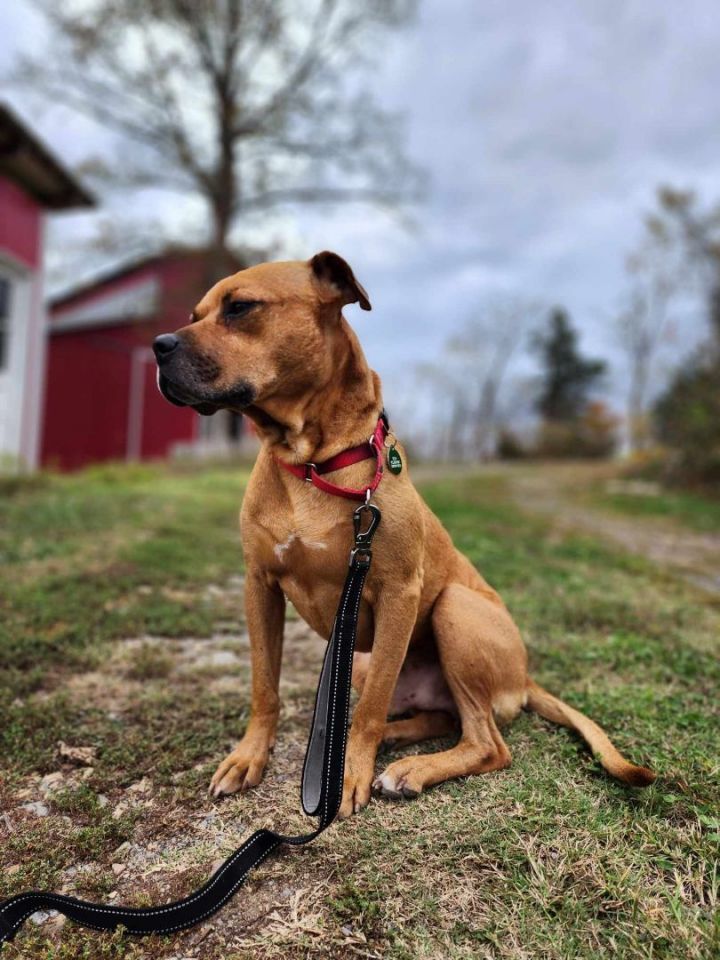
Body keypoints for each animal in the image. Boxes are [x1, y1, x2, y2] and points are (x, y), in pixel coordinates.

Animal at [153, 249, 660, 816]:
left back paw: (409, 767)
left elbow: (369, 711)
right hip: (362, 661)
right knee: (439, 717)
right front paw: (249, 758)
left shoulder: (398, 592)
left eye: (240, 307)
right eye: (195, 315)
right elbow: (265, 686)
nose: (158, 346)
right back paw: (399, 740)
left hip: (453, 611)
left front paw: (348, 775)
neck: (312, 462)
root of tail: (524, 676)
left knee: (487, 742)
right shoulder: (259, 586)